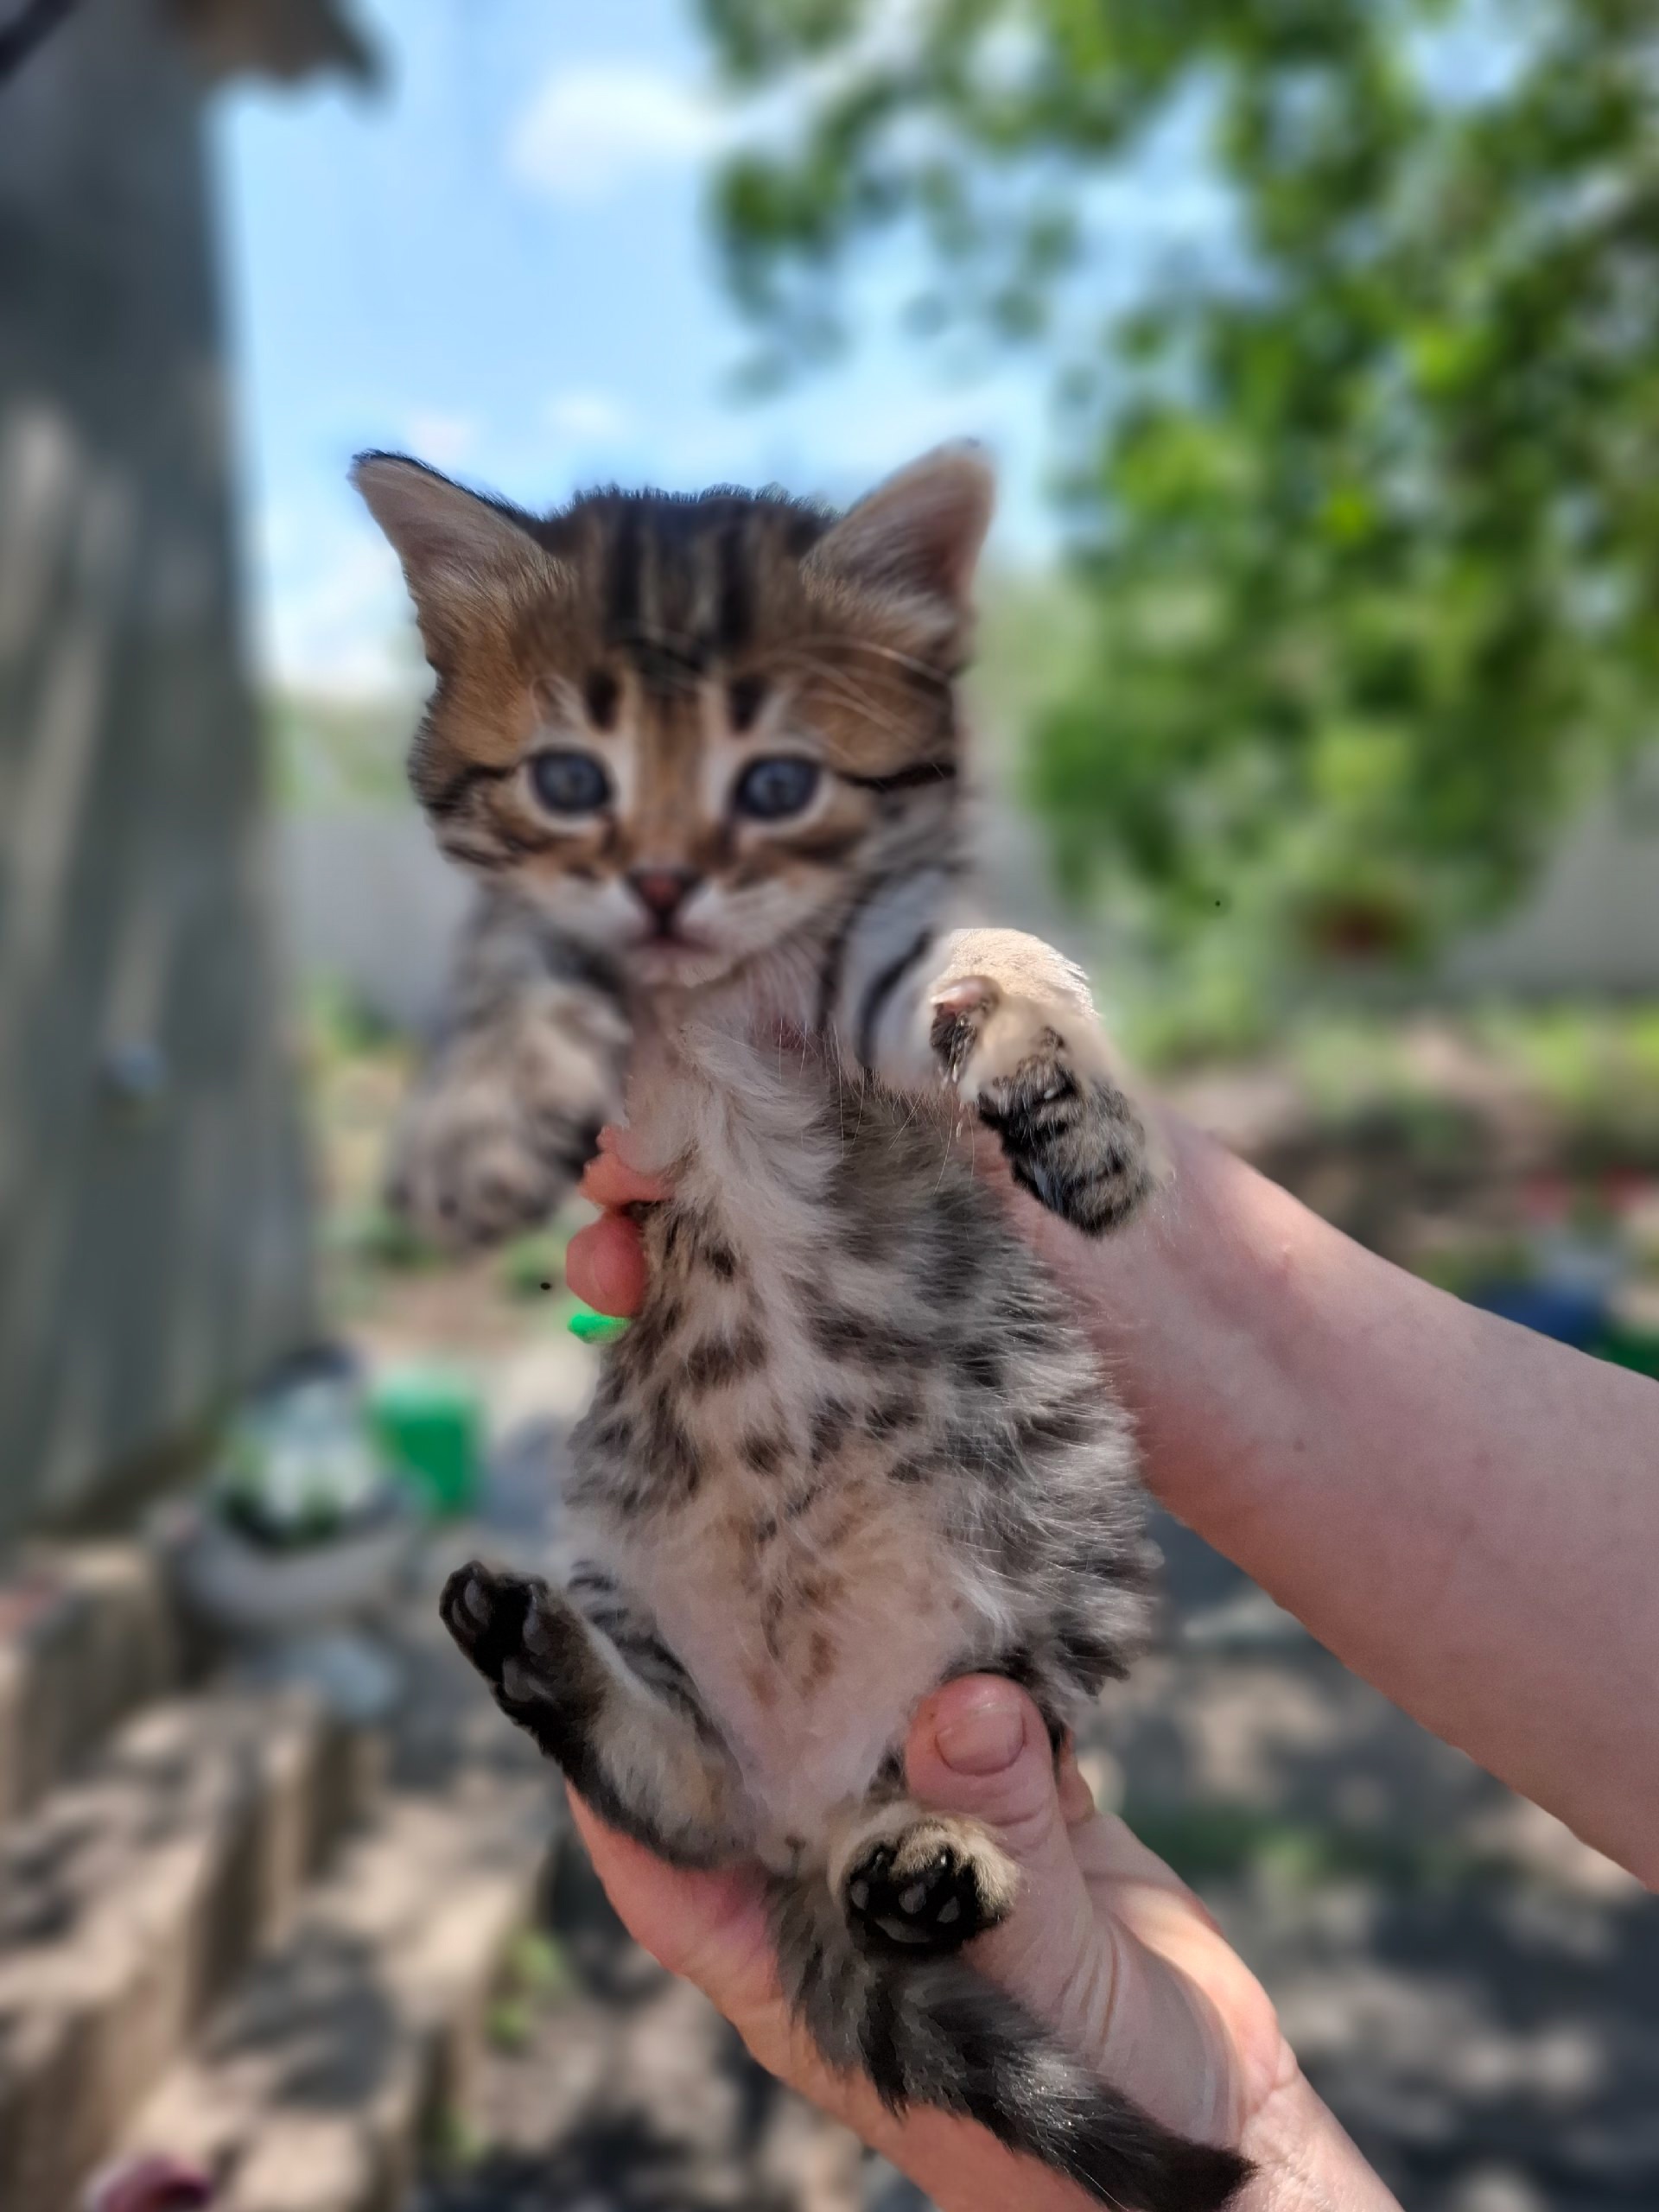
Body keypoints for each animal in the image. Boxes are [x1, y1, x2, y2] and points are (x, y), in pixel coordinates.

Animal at [354, 443, 1250, 2212]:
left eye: (776, 784)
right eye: (569, 780)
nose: (662, 885)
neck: (708, 993)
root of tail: (800, 1789)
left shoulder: (882, 967)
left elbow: (998, 949)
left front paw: (1085, 1108)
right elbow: (516, 955)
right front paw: (477, 1113)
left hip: (1054, 1578)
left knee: (921, 1787)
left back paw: (934, 1855)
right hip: (626, 1563)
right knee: (681, 1794)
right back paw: (551, 1664)